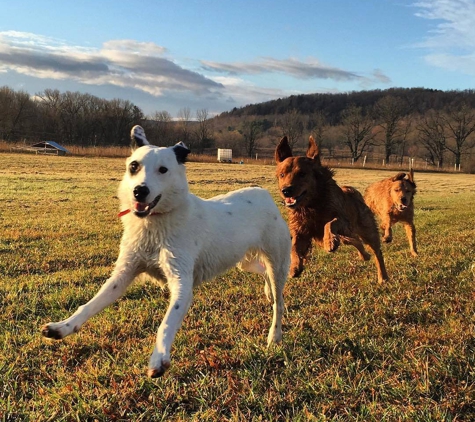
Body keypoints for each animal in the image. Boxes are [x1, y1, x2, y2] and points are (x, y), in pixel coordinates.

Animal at [42, 123, 292, 378]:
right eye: (134, 166)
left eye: (163, 169)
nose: (139, 191)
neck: (154, 225)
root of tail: (263, 194)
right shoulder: (123, 274)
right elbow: (91, 304)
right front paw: (62, 327)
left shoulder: (181, 282)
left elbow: (167, 323)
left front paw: (159, 358)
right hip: (244, 261)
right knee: (262, 273)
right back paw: (267, 292)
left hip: (277, 262)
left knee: (279, 301)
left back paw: (274, 334)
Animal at [278, 135, 388, 284]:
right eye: (282, 175)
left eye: (302, 174)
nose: (286, 190)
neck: (312, 204)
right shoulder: (301, 230)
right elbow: (294, 247)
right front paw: (294, 267)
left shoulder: (341, 219)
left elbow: (329, 224)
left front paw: (329, 242)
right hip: (347, 234)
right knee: (355, 241)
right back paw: (364, 256)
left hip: (366, 230)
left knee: (376, 251)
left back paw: (383, 276)